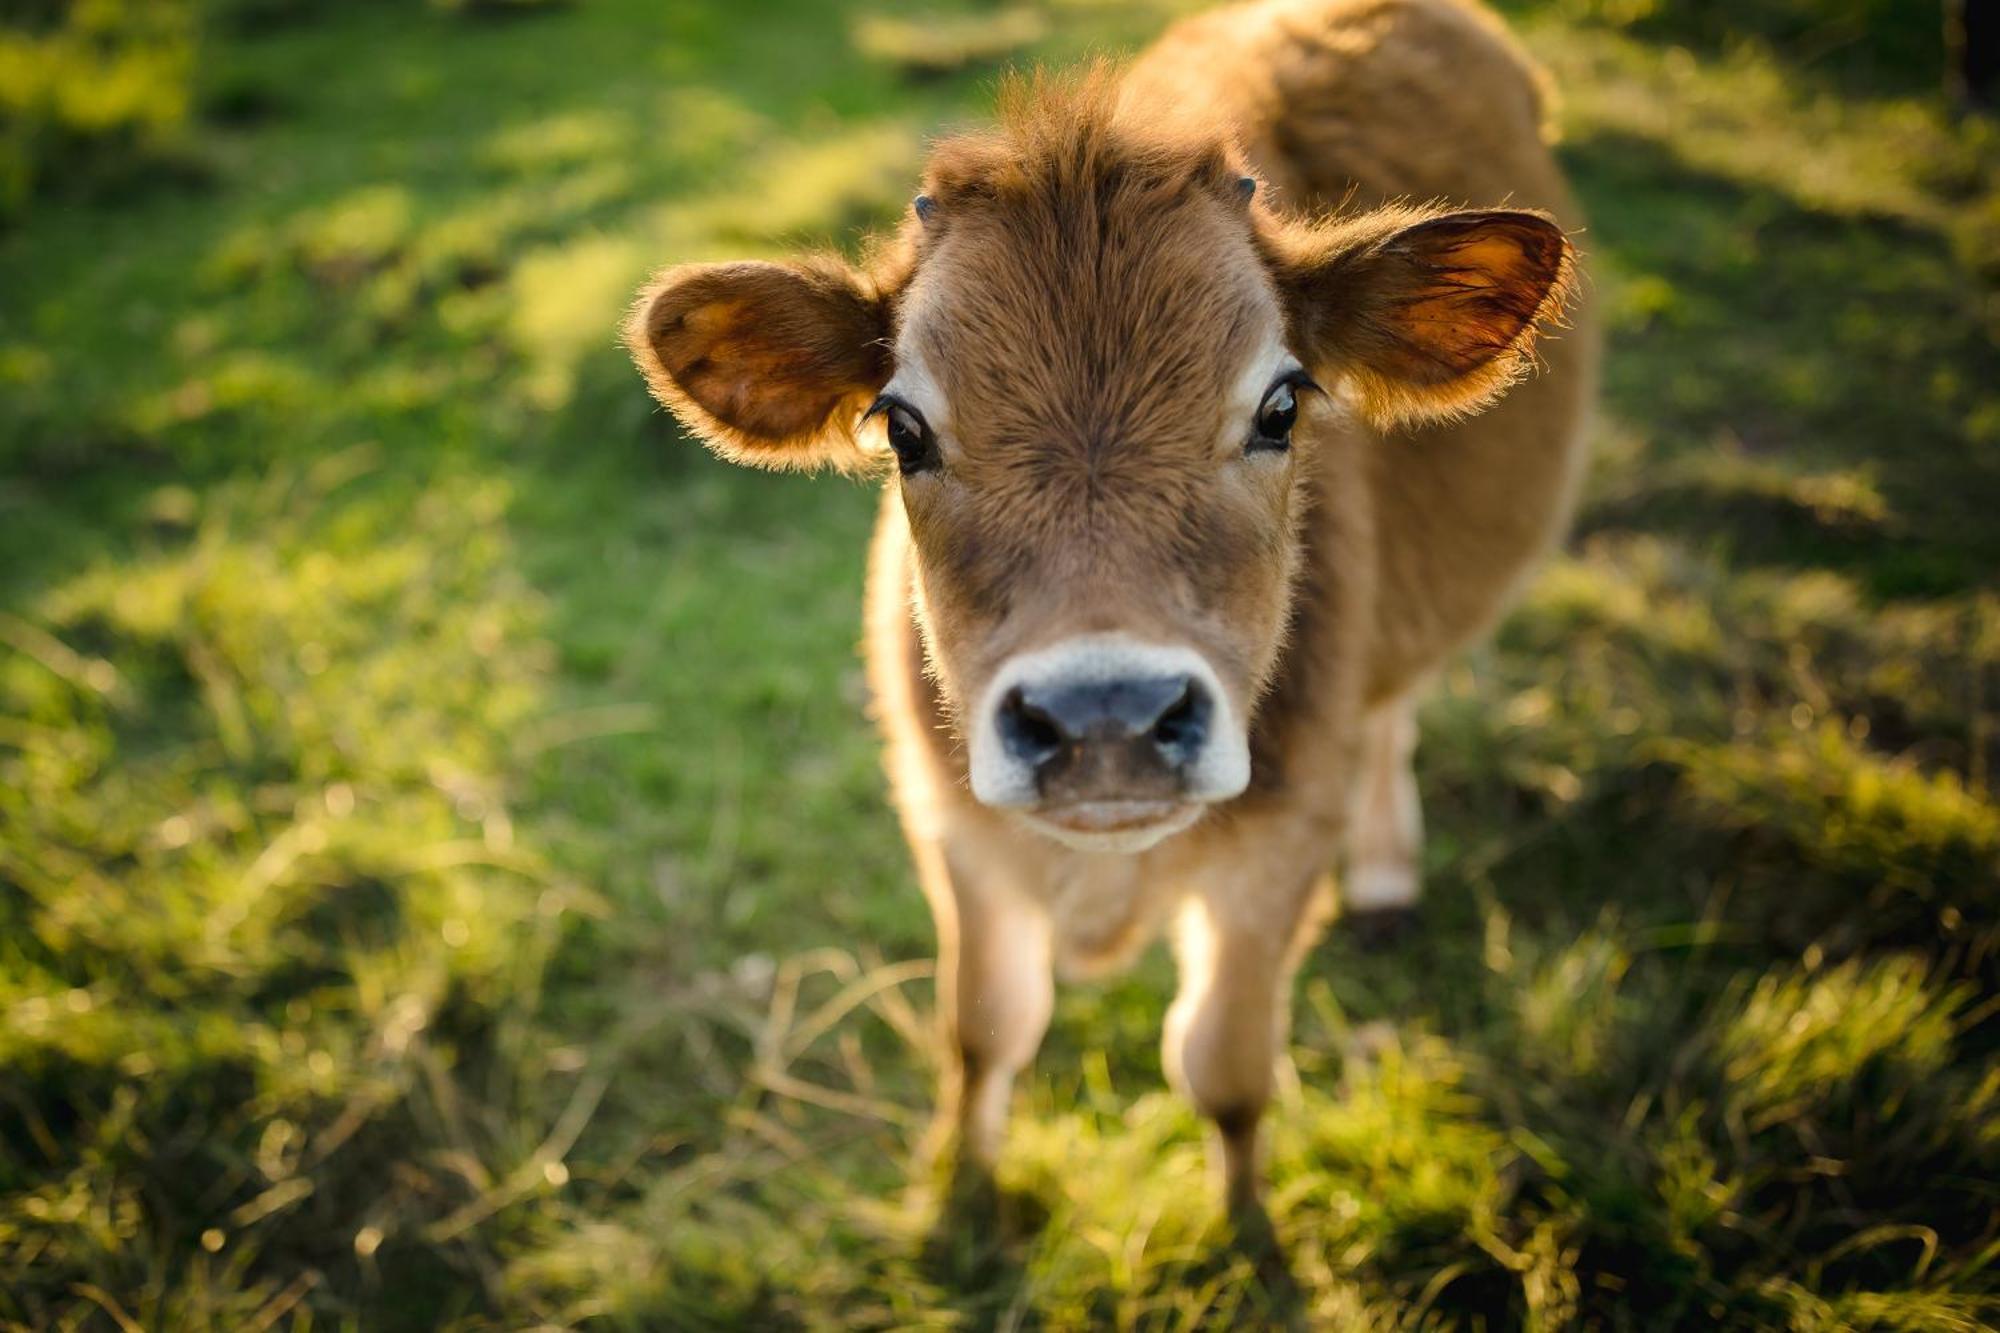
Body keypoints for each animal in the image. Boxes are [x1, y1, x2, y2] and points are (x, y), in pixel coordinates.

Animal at [624, 0, 1592, 1208]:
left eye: (1282, 406)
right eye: (903, 427)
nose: (1105, 719)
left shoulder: (1278, 853)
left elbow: (1224, 1068)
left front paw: (1246, 1229)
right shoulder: (954, 827)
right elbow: (985, 1029)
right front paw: (960, 1194)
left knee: (1391, 716)